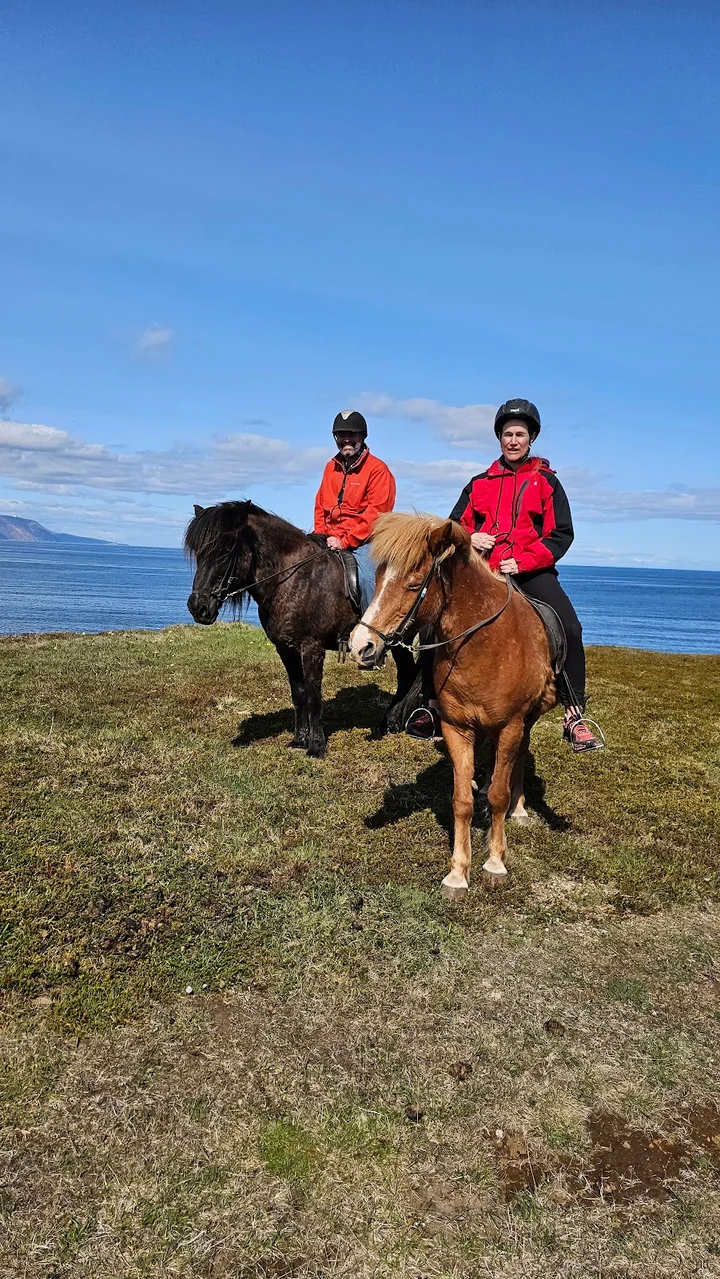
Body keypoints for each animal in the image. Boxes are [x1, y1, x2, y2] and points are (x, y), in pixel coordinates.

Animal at [184, 500, 417, 757]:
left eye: (225, 550)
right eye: (198, 552)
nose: (198, 607)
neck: (295, 579)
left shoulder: (312, 648)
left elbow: (314, 695)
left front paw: (316, 745)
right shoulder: (286, 649)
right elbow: (299, 694)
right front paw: (299, 739)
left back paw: (391, 722)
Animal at [349, 512, 558, 895]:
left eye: (414, 584)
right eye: (380, 577)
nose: (361, 646)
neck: (485, 644)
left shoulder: (511, 725)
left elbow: (499, 796)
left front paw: (495, 860)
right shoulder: (456, 727)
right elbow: (461, 801)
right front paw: (458, 871)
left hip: (526, 721)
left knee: (518, 758)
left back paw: (519, 807)